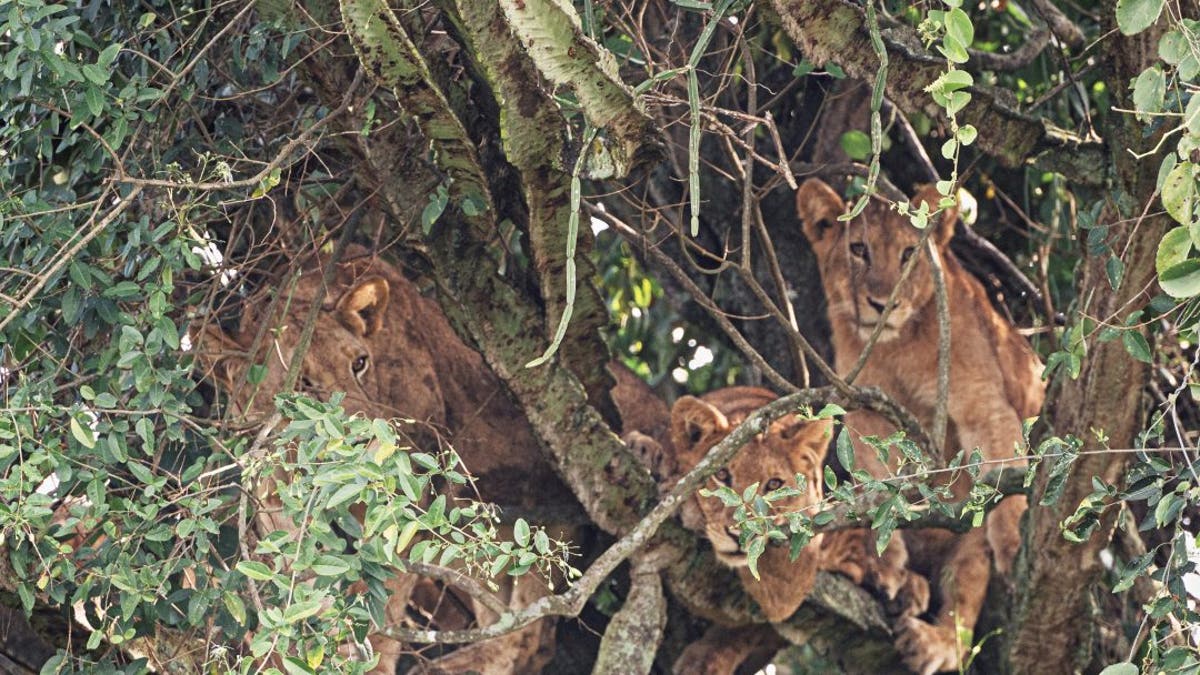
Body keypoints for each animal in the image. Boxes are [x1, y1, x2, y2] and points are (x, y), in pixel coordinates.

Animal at [796, 176, 1041, 667]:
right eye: (858, 249)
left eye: (909, 253)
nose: (881, 304)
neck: (897, 348)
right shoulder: (867, 414)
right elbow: (880, 485)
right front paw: (887, 559)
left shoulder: (982, 402)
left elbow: (1006, 469)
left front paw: (1012, 541)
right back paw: (895, 582)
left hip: (967, 545)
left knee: (962, 606)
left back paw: (934, 643)